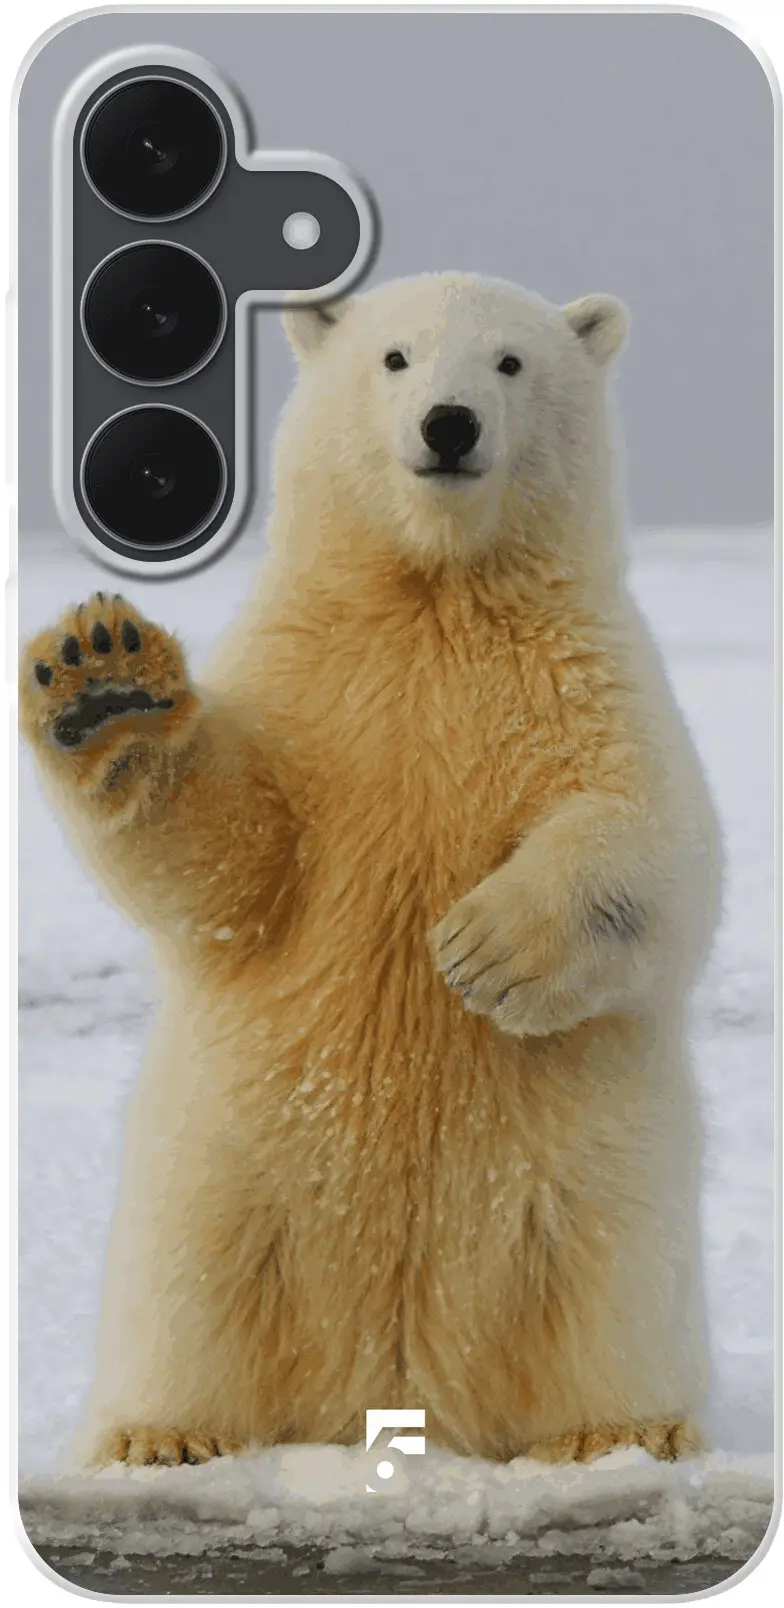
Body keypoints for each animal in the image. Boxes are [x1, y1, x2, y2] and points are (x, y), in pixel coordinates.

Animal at [20, 272, 721, 1471]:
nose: (450, 424)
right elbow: (234, 861)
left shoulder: (587, 674)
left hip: (593, 1177)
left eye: (509, 363)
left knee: (605, 1282)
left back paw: (617, 1431)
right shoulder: (311, 683)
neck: (433, 593)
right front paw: (104, 681)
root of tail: (393, 1390)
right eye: (395, 358)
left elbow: (657, 839)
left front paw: (483, 950)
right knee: (192, 1287)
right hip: (222, 1165)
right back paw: (162, 1434)